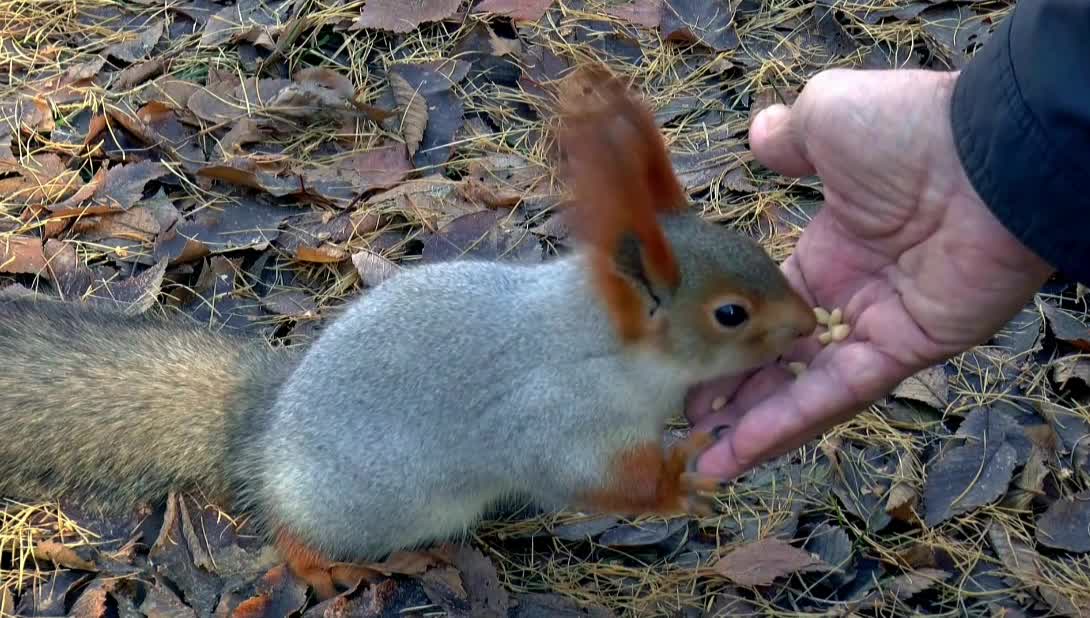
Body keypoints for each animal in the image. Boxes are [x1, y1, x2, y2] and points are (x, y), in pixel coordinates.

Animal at [0, 64, 819, 601]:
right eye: (731, 314)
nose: (811, 325)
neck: (603, 345)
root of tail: (261, 434)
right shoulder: (553, 417)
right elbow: (585, 480)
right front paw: (680, 480)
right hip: (368, 506)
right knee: (294, 537)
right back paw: (333, 565)